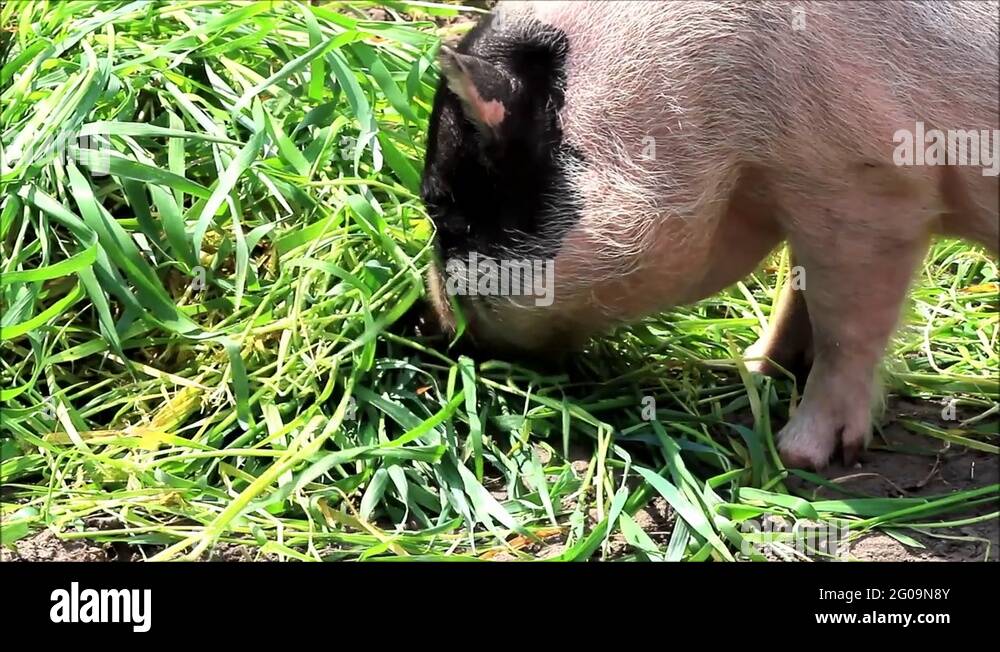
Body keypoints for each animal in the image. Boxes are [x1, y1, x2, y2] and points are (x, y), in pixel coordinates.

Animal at [419, 0, 1000, 469]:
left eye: (445, 214)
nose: (435, 325)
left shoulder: (871, 185)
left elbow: (844, 327)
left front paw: (800, 455)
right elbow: (798, 288)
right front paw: (753, 365)